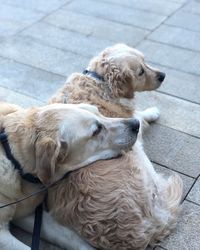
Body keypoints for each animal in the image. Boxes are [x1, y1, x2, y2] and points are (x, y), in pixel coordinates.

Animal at [39, 44, 183, 249]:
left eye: (145, 61)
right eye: (140, 72)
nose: (163, 75)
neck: (100, 80)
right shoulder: (133, 123)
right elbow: (140, 116)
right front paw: (152, 112)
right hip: (143, 167)